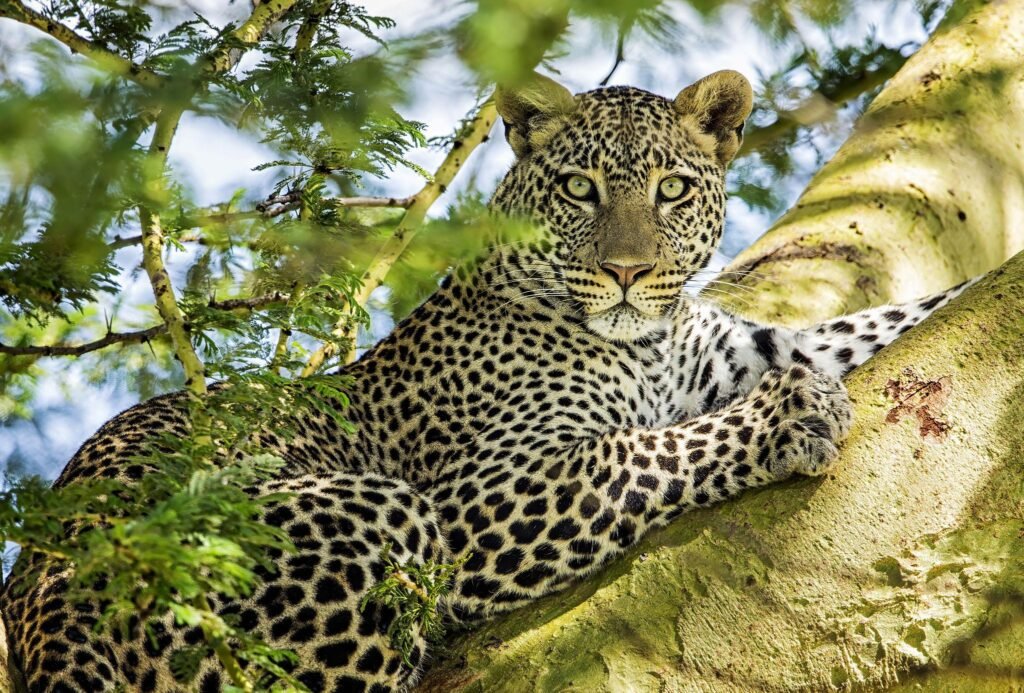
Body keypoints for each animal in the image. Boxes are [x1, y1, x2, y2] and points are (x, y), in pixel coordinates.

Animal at [1, 70, 978, 693]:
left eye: (671, 189)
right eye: (580, 188)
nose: (627, 271)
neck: (649, 341)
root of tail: (43, 578)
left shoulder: (746, 350)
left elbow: (890, 321)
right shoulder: (483, 494)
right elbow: (644, 450)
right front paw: (787, 416)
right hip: (366, 517)